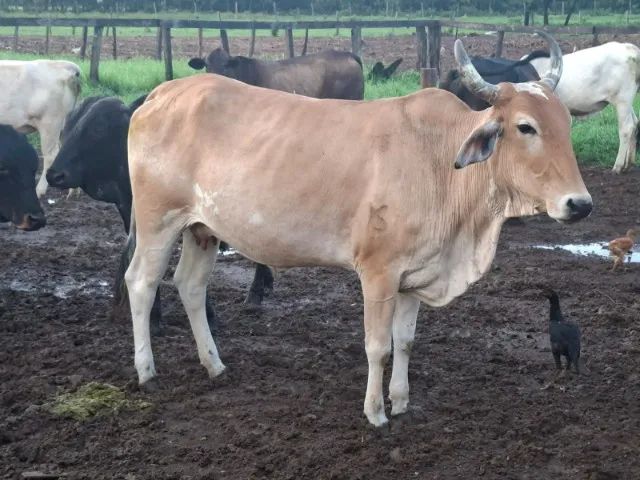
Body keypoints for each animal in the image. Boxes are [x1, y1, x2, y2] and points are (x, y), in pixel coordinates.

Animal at [0, 60, 82, 197]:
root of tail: (62, 64)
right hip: (64, 125)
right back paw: (73, 191)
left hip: (50, 124)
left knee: (50, 156)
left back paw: (40, 190)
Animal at [527, 42, 640, 174]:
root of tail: (630, 48)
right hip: (626, 101)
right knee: (634, 122)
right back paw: (629, 163)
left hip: (622, 99)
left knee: (626, 128)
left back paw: (618, 166)